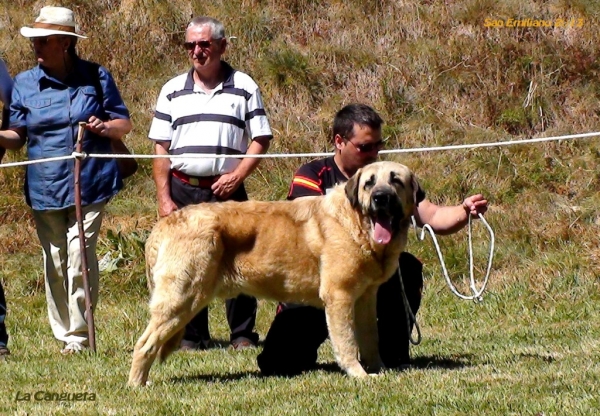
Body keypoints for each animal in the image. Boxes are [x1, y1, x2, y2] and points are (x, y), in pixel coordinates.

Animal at [129, 161, 424, 386]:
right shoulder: (339, 297)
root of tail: (164, 223)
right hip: (181, 299)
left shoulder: (365, 298)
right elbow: (347, 342)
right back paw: (137, 385)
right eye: (369, 183)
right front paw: (358, 375)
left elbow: (370, 338)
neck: (357, 224)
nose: (380, 198)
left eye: (395, 180)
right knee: (144, 345)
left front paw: (378, 369)